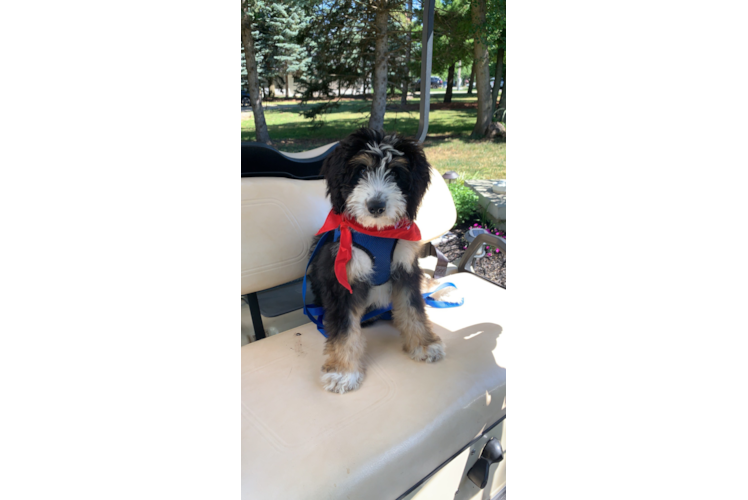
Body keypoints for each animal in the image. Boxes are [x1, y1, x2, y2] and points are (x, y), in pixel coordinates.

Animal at [308, 127, 448, 392]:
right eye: (362, 170)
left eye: (395, 172)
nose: (375, 206)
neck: (378, 232)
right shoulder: (343, 278)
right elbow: (344, 328)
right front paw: (343, 371)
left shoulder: (405, 268)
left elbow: (413, 309)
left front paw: (424, 344)